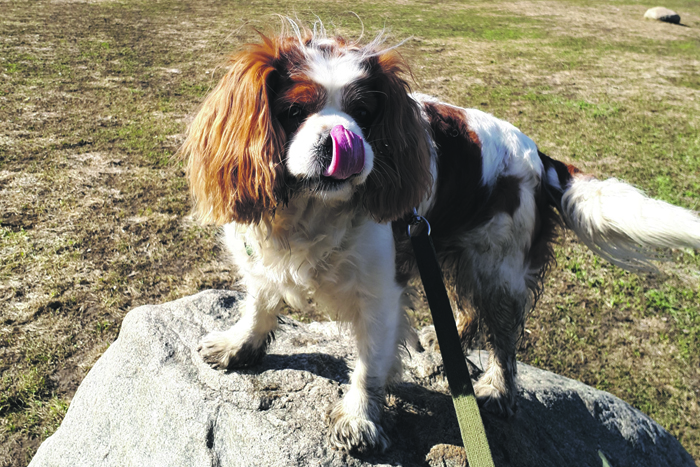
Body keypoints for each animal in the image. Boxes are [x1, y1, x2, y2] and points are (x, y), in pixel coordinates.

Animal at [182, 24, 700, 454]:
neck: (308, 210)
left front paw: (360, 420)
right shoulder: (263, 259)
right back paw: (445, 343)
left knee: (504, 335)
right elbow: (258, 305)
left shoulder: (380, 291)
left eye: (364, 112)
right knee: (468, 308)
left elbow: (369, 363)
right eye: (294, 110)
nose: (341, 140)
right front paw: (239, 345)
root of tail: (538, 154)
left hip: (498, 266)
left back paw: (497, 390)